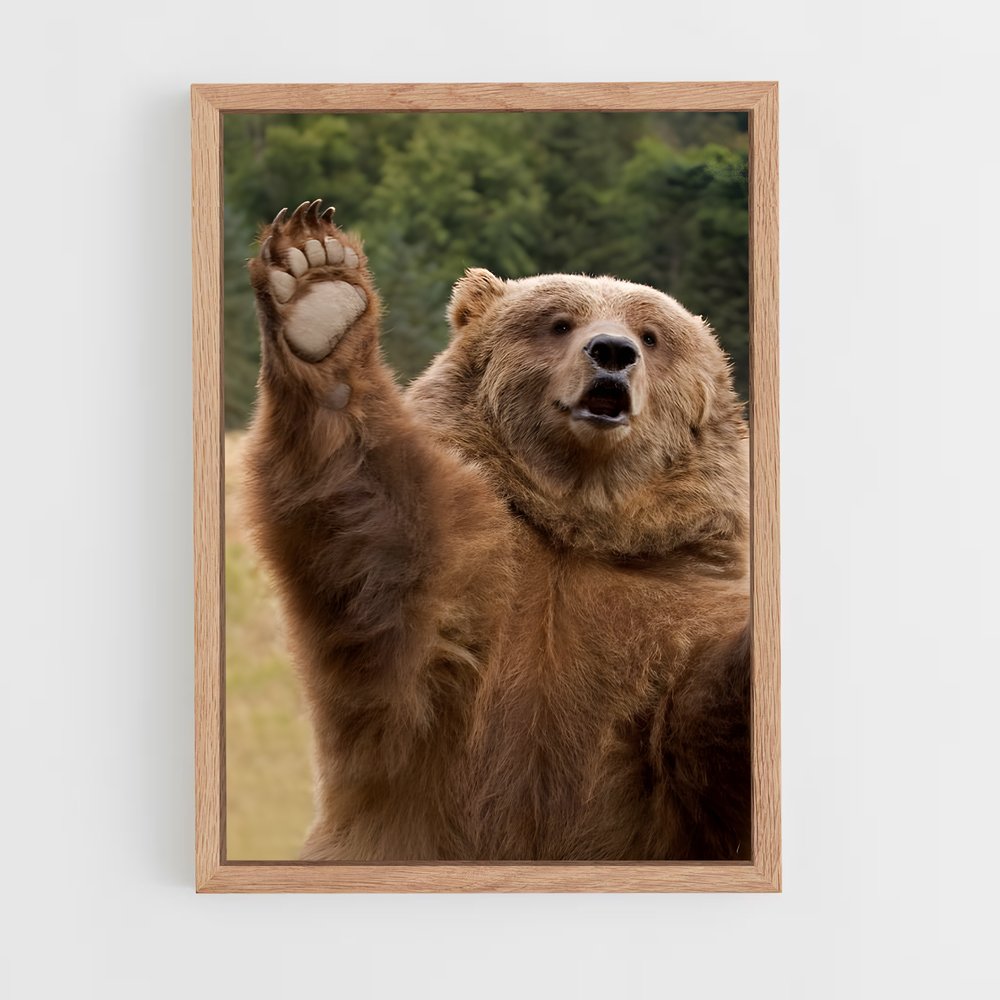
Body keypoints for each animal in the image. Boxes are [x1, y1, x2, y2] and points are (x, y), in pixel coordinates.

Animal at [242, 198, 751, 862]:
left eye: (652, 335)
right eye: (559, 323)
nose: (612, 353)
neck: (575, 524)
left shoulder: (672, 593)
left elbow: (698, 724)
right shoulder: (470, 583)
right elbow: (376, 533)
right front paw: (318, 288)